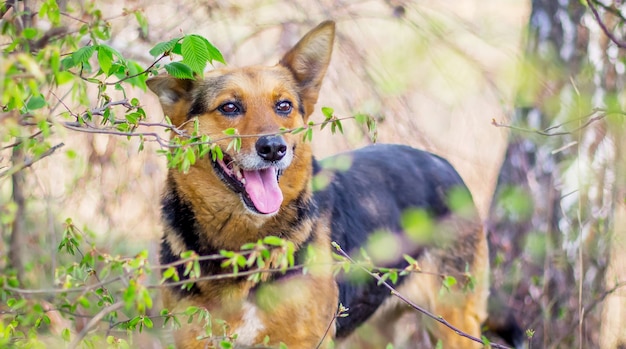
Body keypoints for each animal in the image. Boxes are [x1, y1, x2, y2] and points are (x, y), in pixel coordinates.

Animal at [149, 21, 490, 348]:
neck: (242, 243)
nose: (273, 148)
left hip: (455, 325)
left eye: (284, 106)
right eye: (229, 107)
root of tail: (442, 162)